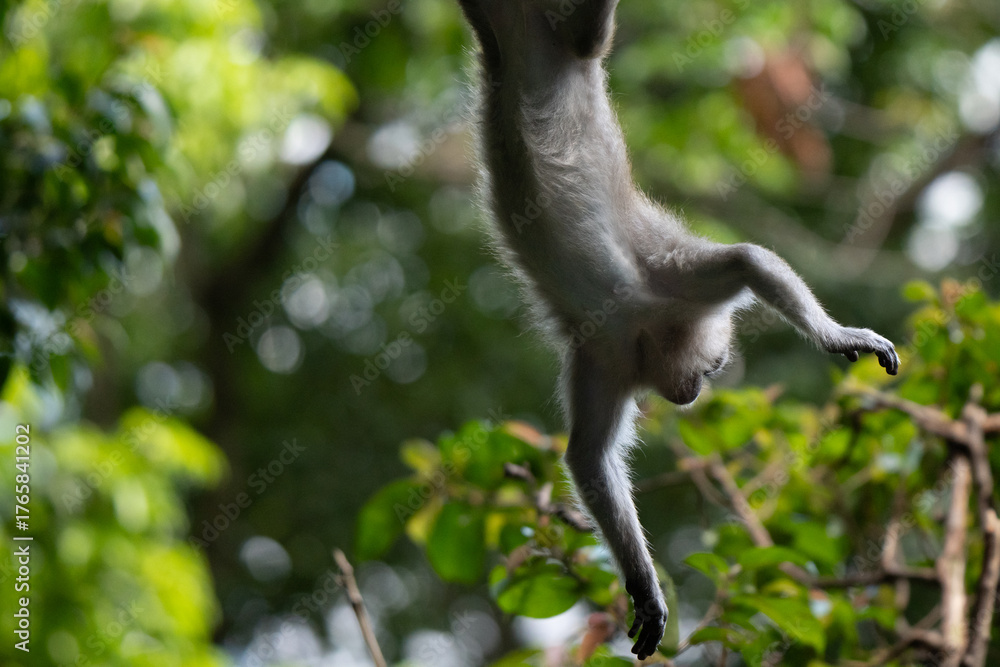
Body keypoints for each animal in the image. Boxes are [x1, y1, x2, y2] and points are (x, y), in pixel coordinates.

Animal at [455, 0, 899, 659]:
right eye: (712, 370)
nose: (696, 392)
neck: (641, 336)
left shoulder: (616, 345)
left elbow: (746, 261)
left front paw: (837, 336)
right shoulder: (635, 324)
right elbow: (589, 458)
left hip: (530, 41)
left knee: (552, 40)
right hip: (553, 40)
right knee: (584, 35)